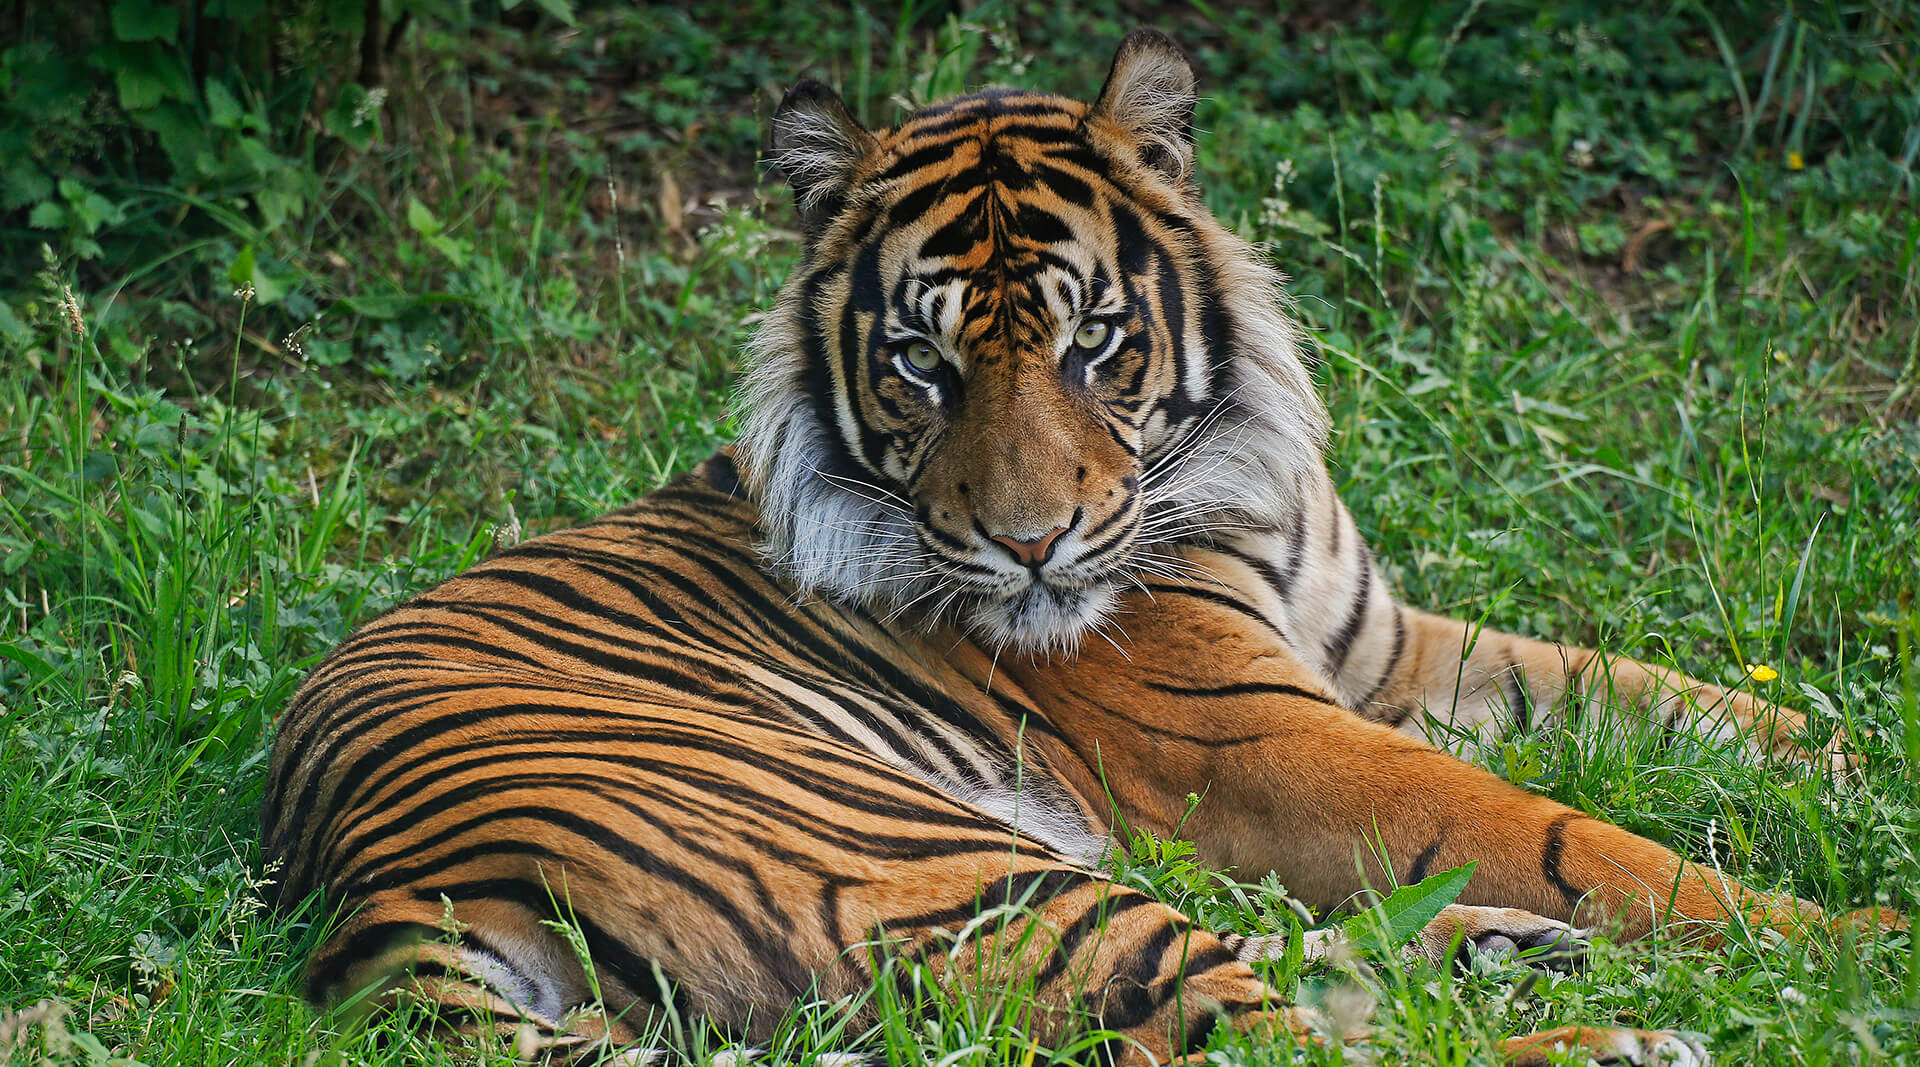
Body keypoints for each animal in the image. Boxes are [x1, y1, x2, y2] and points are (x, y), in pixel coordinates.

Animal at [259, 29, 1889, 1059]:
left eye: (1093, 339)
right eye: (921, 367)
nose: (1031, 546)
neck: (1232, 483)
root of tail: (369, 881)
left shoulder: (1383, 646)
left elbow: (1655, 695)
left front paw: (1849, 764)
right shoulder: (1260, 735)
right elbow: (1570, 830)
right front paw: (1850, 929)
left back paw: (1535, 965)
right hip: (953, 860)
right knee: (1267, 1036)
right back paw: (1621, 1029)